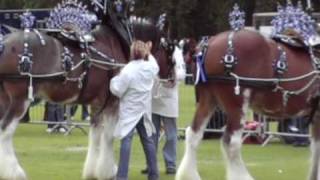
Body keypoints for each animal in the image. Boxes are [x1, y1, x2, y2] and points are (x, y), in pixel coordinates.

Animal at [0, 1, 179, 180]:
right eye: (171, 51)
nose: (173, 79)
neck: (116, 42)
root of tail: (4, 43)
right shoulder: (112, 103)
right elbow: (108, 137)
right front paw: (108, 171)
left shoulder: (96, 104)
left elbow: (95, 136)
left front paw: (91, 171)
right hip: (19, 100)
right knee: (5, 131)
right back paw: (15, 173)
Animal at [176, 29, 320, 179]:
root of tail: (207, 46)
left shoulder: (316, 116)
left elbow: (316, 147)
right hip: (237, 105)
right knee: (231, 142)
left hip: (207, 99)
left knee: (193, 134)